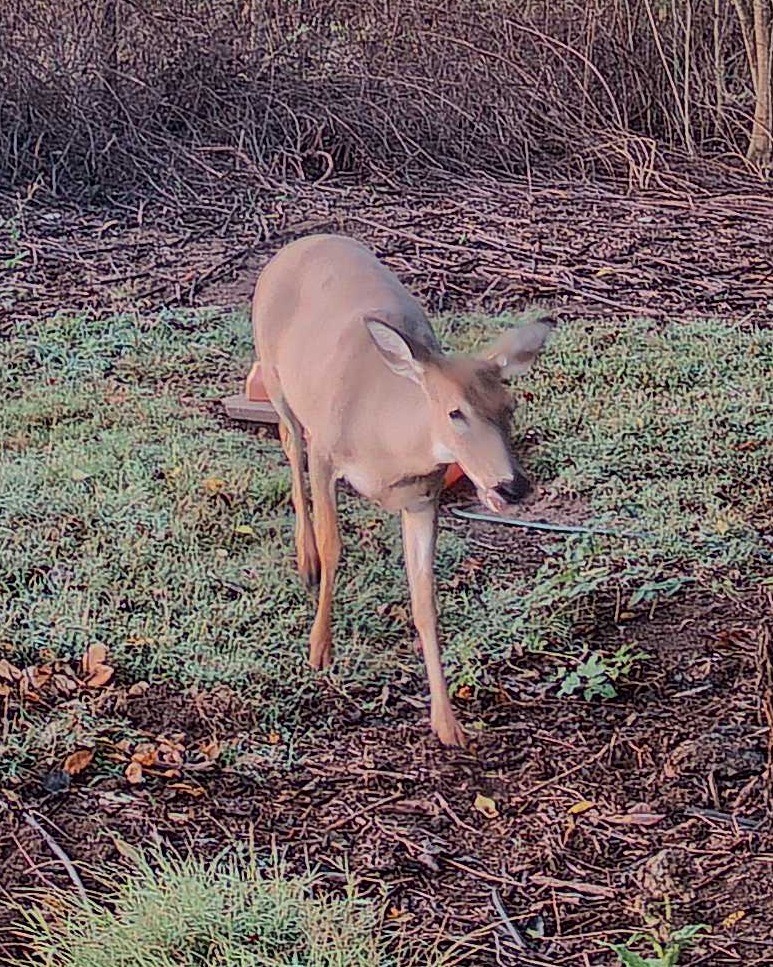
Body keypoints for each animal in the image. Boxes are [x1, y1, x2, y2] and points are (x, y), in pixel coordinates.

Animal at [252, 234, 554, 747]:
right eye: (455, 412)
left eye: (510, 406)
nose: (512, 485)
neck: (386, 440)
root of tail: (302, 242)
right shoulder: (328, 453)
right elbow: (335, 545)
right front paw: (319, 649)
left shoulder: (422, 497)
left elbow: (424, 596)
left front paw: (448, 723)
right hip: (275, 375)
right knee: (290, 442)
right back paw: (305, 560)